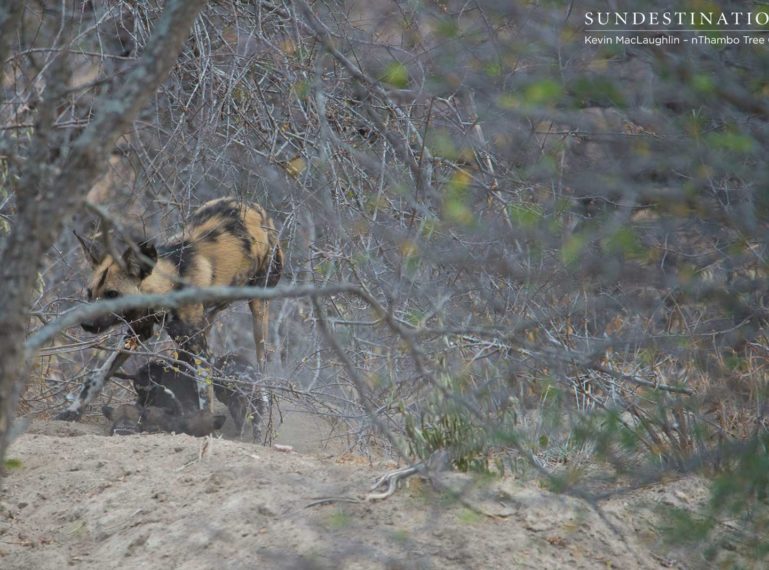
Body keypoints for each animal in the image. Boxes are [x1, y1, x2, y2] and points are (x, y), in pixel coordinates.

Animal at [58, 197, 282, 420]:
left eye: (112, 295)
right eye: (89, 293)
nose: (86, 324)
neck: (166, 287)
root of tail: (254, 206)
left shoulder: (200, 352)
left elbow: (205, 395)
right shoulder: (137, 333)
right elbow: (99, 376)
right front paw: (73, 411)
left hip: (258, 311)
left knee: (262, 362)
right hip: (204, 320)